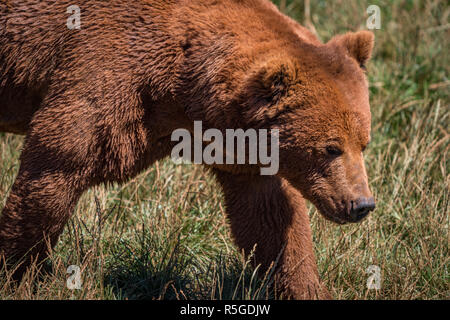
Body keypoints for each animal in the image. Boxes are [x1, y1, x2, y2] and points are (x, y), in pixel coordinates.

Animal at [0, 0, 374, 300]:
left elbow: (272, 220)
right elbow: (57, 164)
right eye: (330, 148)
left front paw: (307, 287)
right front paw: (18, 273)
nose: (362, 204)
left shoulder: (240, 148)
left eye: (363, 143)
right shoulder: (103, 69)